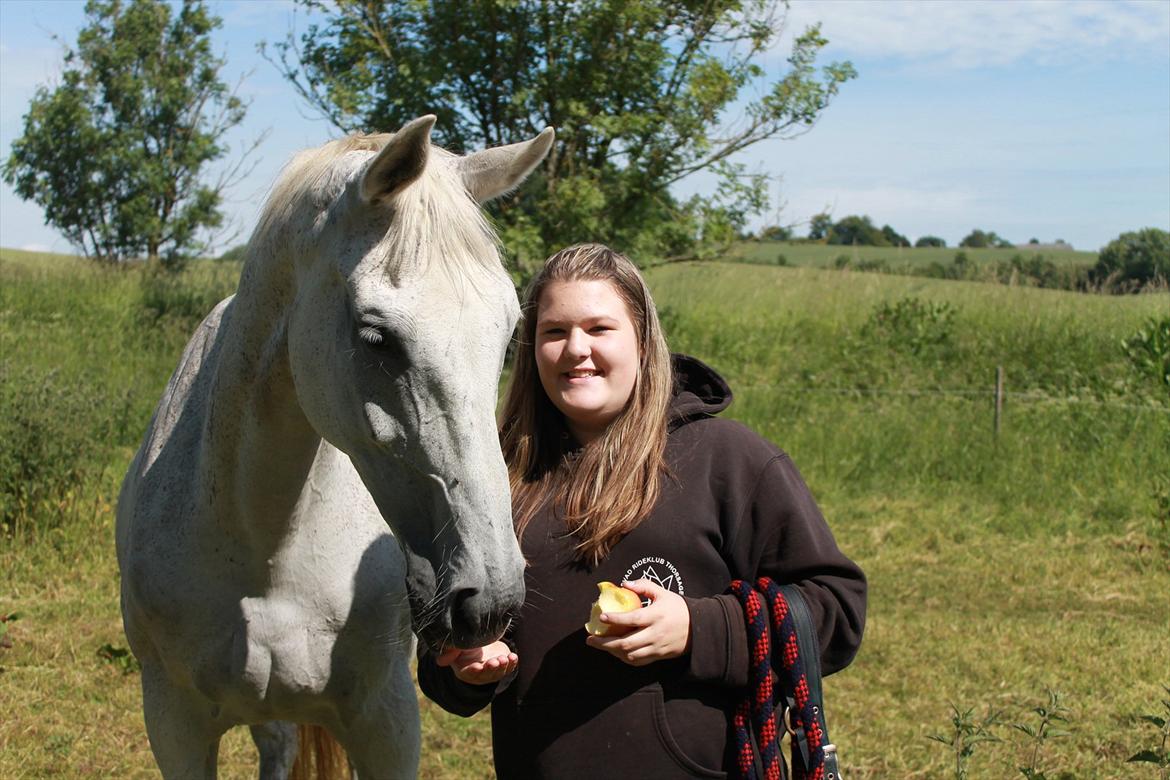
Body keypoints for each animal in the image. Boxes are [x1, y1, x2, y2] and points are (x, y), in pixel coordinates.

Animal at [114, 117, 552, 780]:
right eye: (375, 337)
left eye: (507, 334)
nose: (490, 598)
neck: (264, 554)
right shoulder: (174, 723)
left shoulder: (386, 721)